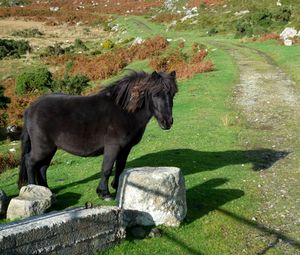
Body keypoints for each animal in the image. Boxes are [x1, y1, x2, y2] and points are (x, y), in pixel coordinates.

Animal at [18, 70, 178, 200]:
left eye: (172, 94)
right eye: (155, 94)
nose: (167, 122)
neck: (125, 111)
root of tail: (30, 108)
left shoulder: (125, 149)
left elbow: (120, 167)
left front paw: (117, 187)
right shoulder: (113, 146)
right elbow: (106, 168)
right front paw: (104, 193)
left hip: (50, 149)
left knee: (42, 167)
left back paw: (47, 190)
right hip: (43, 147)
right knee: (30, 162)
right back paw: (33, 189)